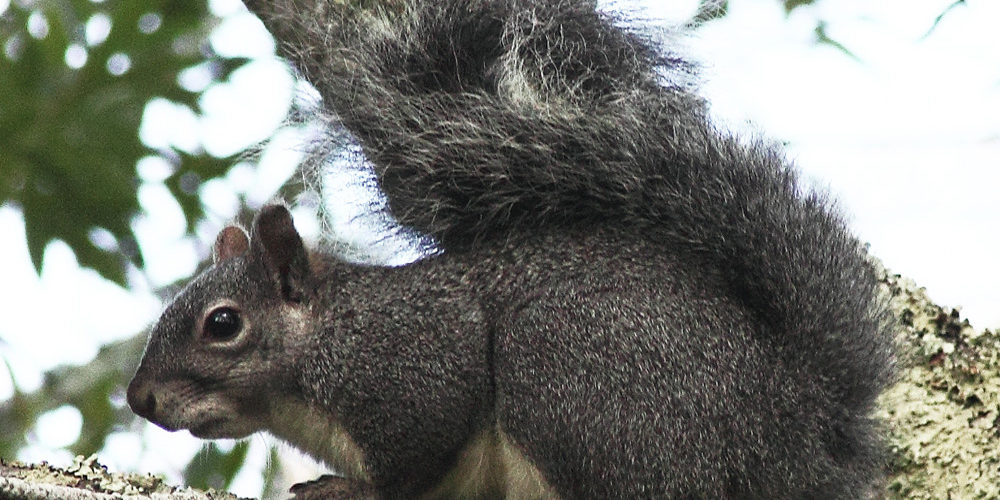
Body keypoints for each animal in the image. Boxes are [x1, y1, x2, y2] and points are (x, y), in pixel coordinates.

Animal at [127, 0, 900, 496]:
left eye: (223, 323)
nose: (139, 399)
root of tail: (803, 436)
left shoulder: (414, 369)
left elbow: (414, 463)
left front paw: (346, 490)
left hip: (573, 375)